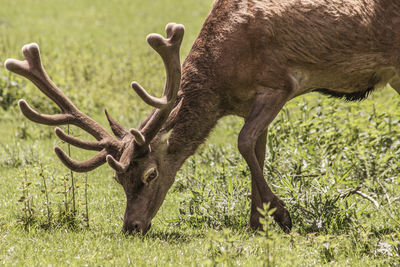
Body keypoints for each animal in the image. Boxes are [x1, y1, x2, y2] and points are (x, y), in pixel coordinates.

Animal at [4, 0, 400, 234]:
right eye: (118, 180)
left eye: (150, 174)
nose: (131, 227)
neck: (223, 81)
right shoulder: (252, 102)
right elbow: (259, 152)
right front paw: (257, 221)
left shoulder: (279, 84)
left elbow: (243, 143)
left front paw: (281, 215)